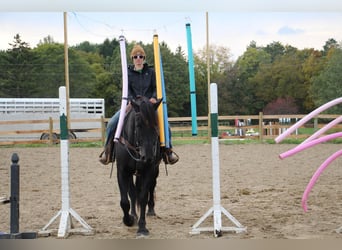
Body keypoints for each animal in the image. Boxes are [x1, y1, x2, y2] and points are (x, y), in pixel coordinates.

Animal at [115, 96, 162, 236]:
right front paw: (129, 220)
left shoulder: (149, 170)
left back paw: (151, 210)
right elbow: (125, 200)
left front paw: (142, 227)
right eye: (138, 125)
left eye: (156, 125)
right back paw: (133, 215)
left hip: (154, 171)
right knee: (132, 192)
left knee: (151, 188)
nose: (148, 157)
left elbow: (142, 198)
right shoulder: (122, 171)